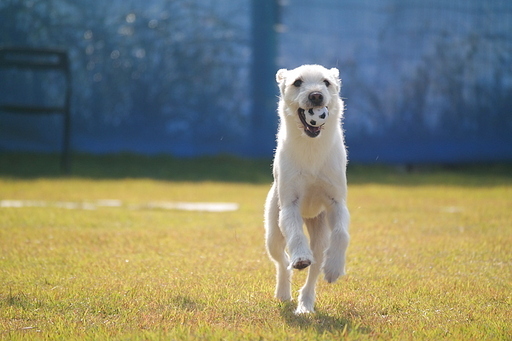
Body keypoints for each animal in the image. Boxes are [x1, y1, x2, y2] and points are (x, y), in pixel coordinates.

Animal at [264, 63, 352, 314]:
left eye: (326, 82)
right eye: (297, 82)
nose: (316, 96)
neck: (311, 145)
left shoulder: (336, 202)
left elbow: (341, 234)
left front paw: (334, 268)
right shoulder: (289, 205)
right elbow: (295, 233)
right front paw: (301, 257)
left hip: (320, 234)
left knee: (315, 269)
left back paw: (306, 303)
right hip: (272, 230)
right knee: (282, 260)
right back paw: (284, 292)